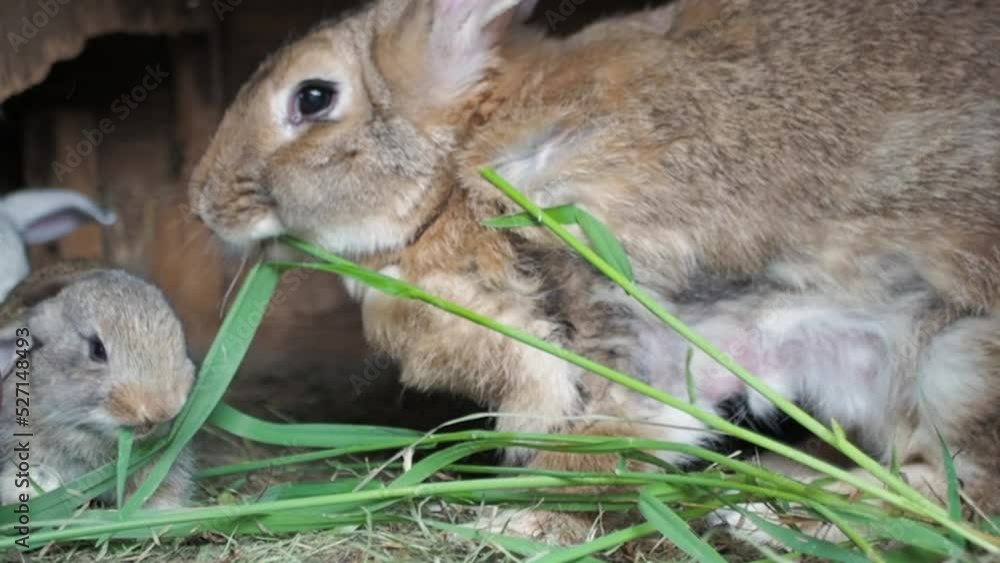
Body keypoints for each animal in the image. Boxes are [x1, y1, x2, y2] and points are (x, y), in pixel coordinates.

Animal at [189, 0, 1000, 535]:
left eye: (313, 97)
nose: (200, 203)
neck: (454, 172)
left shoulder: (620, 313)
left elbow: (613, 434)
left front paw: (521, 522)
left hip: (955, 359)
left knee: (960, 487)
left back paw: (771, 509)